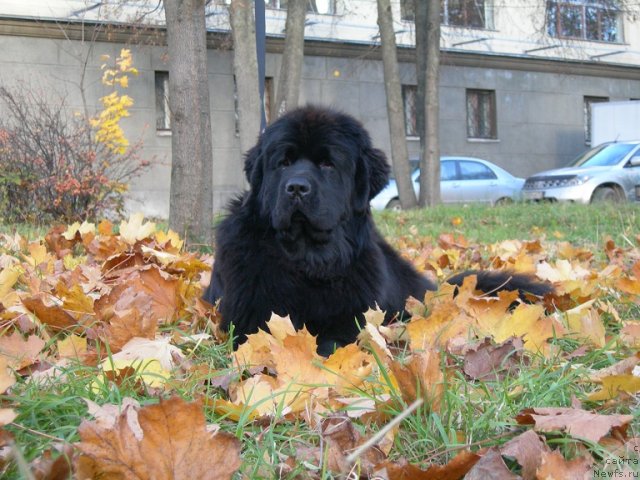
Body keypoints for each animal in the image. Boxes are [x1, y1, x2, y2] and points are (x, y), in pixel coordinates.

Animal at [205, 105, 552, 354]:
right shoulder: (249, 315)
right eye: (284, 163)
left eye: (328, 164)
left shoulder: (356, 316)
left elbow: (334, 340)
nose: (297, 188)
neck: (308, 261)